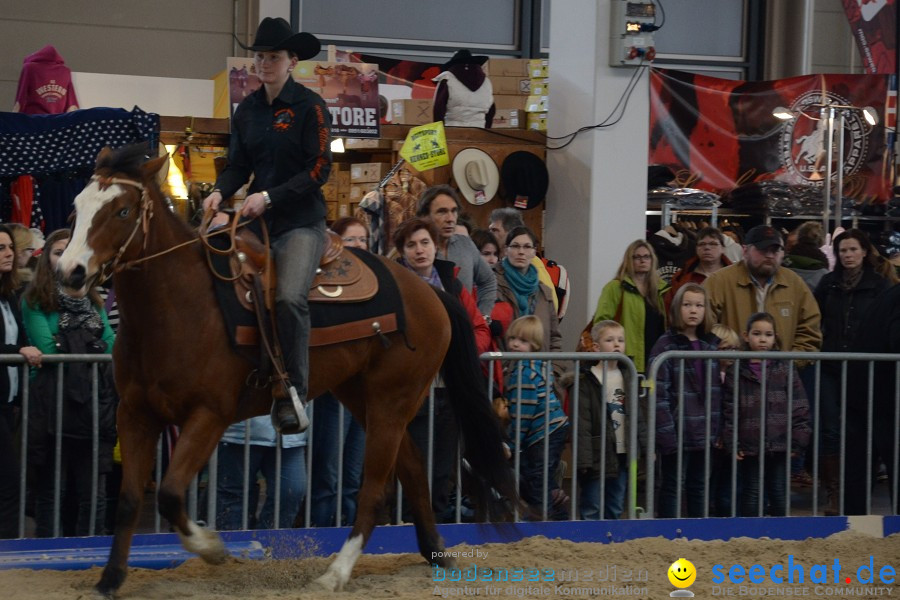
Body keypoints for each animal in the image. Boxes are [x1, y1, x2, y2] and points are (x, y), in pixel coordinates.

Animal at [56, 144, 516, 596]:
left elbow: (169, 493)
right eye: (76, 208)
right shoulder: (134, 414)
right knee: (414, 467)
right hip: (365, 397)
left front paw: (213, 548)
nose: (70, 272)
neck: (180, 305)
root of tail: (431, 294)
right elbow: (131, 500)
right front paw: (109, 579)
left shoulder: (208, 415)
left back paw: (336, 573)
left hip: (393, 399)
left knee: (374, 488)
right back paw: (435, 551)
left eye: (122, 211)